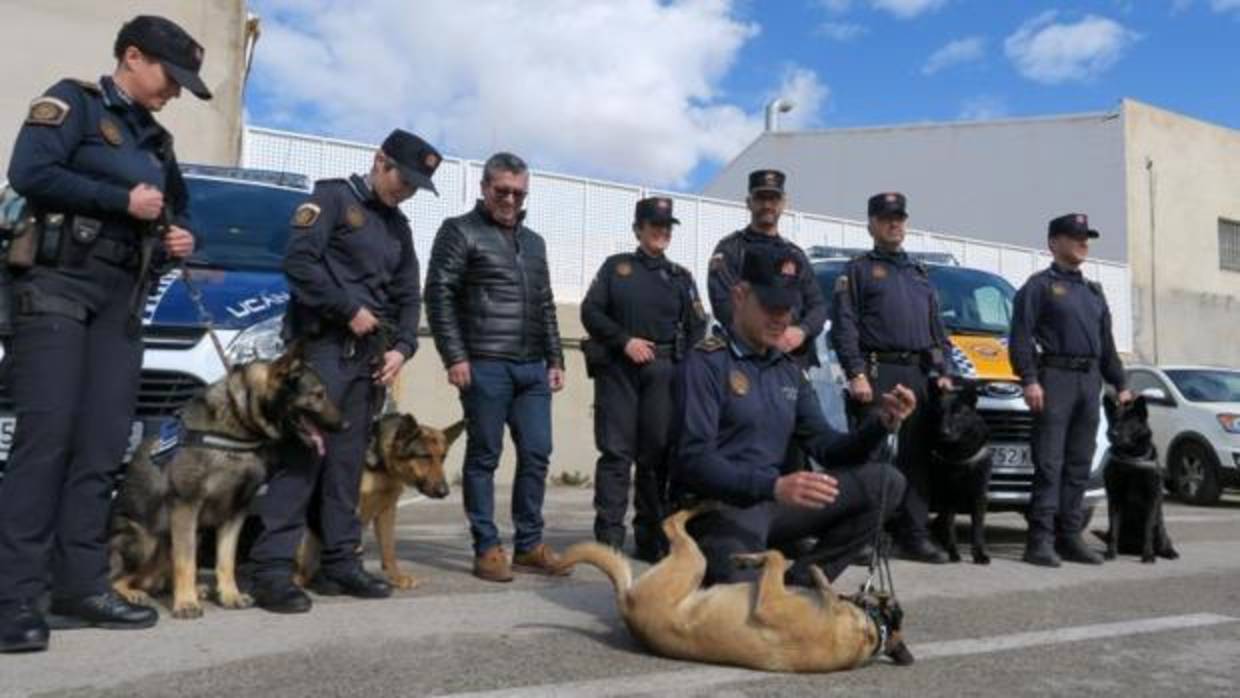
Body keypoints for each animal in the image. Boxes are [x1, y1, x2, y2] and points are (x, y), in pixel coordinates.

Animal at [108, 347, 342, 619]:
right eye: (318, 394)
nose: (345, 425)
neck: (237, 426)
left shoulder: (235, 513)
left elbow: (226, 560)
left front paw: (230, 595)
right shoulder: (185, 507)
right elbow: (186, 562)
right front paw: (185, 603)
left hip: (193, 535)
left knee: (160, 577)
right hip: (146, 538)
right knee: (115, 578)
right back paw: (132, 593)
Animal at [295, 411, 466, 592]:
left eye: (443, 457)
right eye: (424, 456)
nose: (444, 492)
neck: (383, 465)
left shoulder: (387, 511)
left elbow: (388, 549)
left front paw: (397, 578)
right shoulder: (353, 510)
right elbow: (354, 548)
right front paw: (359, 578)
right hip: (306, 537)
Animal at [553, 505, 912, 674]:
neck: (869, 632)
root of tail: (626, 604)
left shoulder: (770, 603)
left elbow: (777, 555)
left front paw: (752, 559)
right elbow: (790, 564)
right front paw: (817, 576)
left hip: (692, 562)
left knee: (672, 522)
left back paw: (705, 504)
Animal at [927, 379, 992, 565]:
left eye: (957, 414)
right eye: (939, 413)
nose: (943, 432)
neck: (959, 455)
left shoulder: (979, 496)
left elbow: (977, 528)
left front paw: (979, 554)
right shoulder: (947, 496)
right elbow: (950, 527)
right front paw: (953, 553)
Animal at [1101, 396, 1175, 565]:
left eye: (1129, 421)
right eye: (1113, 419)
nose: (1111, 433)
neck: (1131, 458)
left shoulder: (1152, 498)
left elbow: (1147, 530)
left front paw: (1148, 555)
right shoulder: (1115, 498)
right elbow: (1114, 528)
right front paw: (1111, 552)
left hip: (1160, 528)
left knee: (1163, 540)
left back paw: (1169, 552)